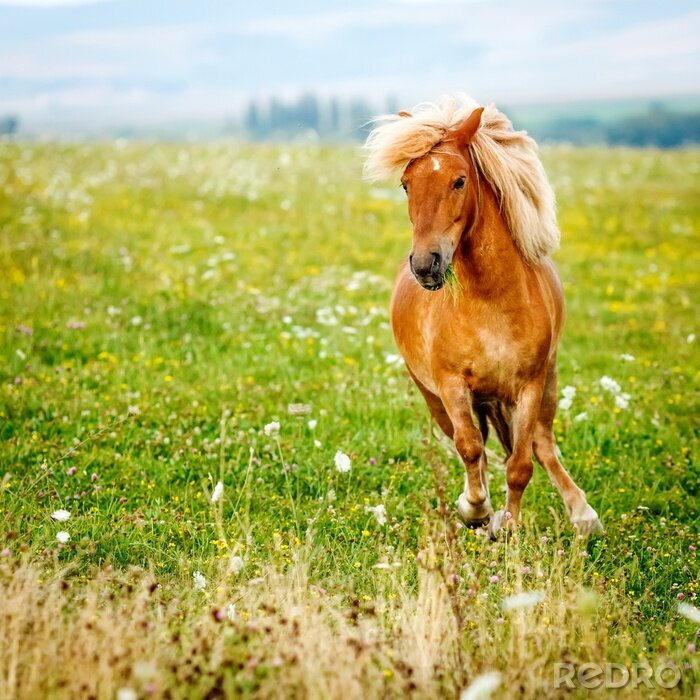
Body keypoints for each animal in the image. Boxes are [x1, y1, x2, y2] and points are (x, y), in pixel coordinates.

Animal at [363, 95, 602, 538]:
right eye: (406, 184)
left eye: (459, 181)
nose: (425, 264)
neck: (490, 302)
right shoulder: (452, 386)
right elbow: (471, 447)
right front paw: (475, 510)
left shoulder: (529, 386)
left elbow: (521, 464)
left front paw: (507, 525)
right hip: (434, 398)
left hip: (548, 384)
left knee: (543, 444)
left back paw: (583, 514)